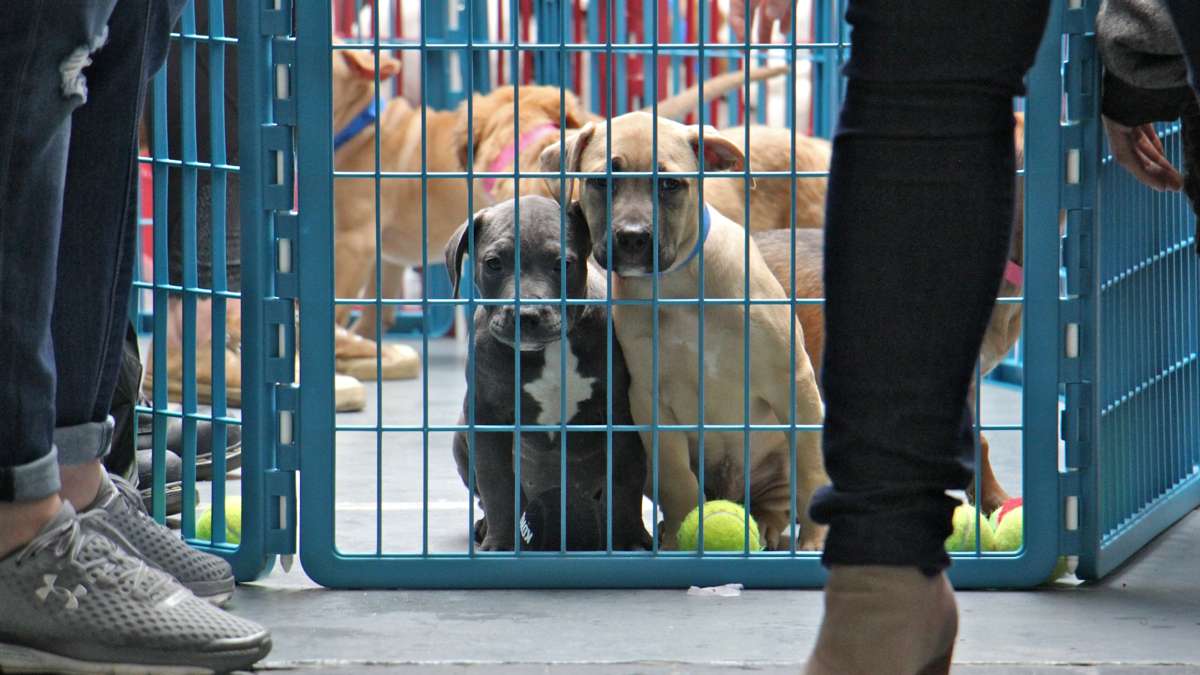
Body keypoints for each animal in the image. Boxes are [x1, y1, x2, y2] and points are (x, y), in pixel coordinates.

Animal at [444, 193, 652, 547]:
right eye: (493, 263)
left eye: (563, 264)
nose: (526, 313)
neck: (549, 350)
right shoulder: (487, 417)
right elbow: (497, 485)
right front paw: (501, 542)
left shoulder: (621, 415)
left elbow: (624, 479)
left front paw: (629, 538)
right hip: (461, 437)